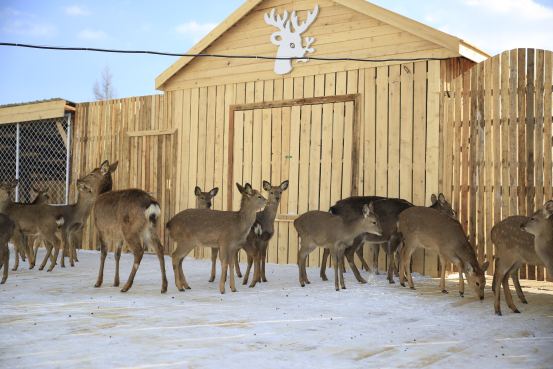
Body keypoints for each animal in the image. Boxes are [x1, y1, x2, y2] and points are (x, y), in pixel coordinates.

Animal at [78, 160, 167, 292]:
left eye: (91, 174)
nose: (79, 180)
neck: (100, 195)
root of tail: (152, 205)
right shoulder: (118, 235)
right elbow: (117, 255)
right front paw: (116, 282)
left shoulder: (101, 230)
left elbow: (103, 254)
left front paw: (98, 282)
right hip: (150, 228)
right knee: (159, 248)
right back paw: (164, 287)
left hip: (130, 229)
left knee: (138, 251)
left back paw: (126, 286)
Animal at [322, 194, 454, 284]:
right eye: (450, 207)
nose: (455, 214)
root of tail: (333, 208)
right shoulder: (395, 235)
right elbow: (394, 255)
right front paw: (393, 278)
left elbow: (398, 255)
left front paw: (402, 277)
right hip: (356, 236)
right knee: (348, 252)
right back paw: (360, 278)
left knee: (330, 250)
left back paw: (325, 275)